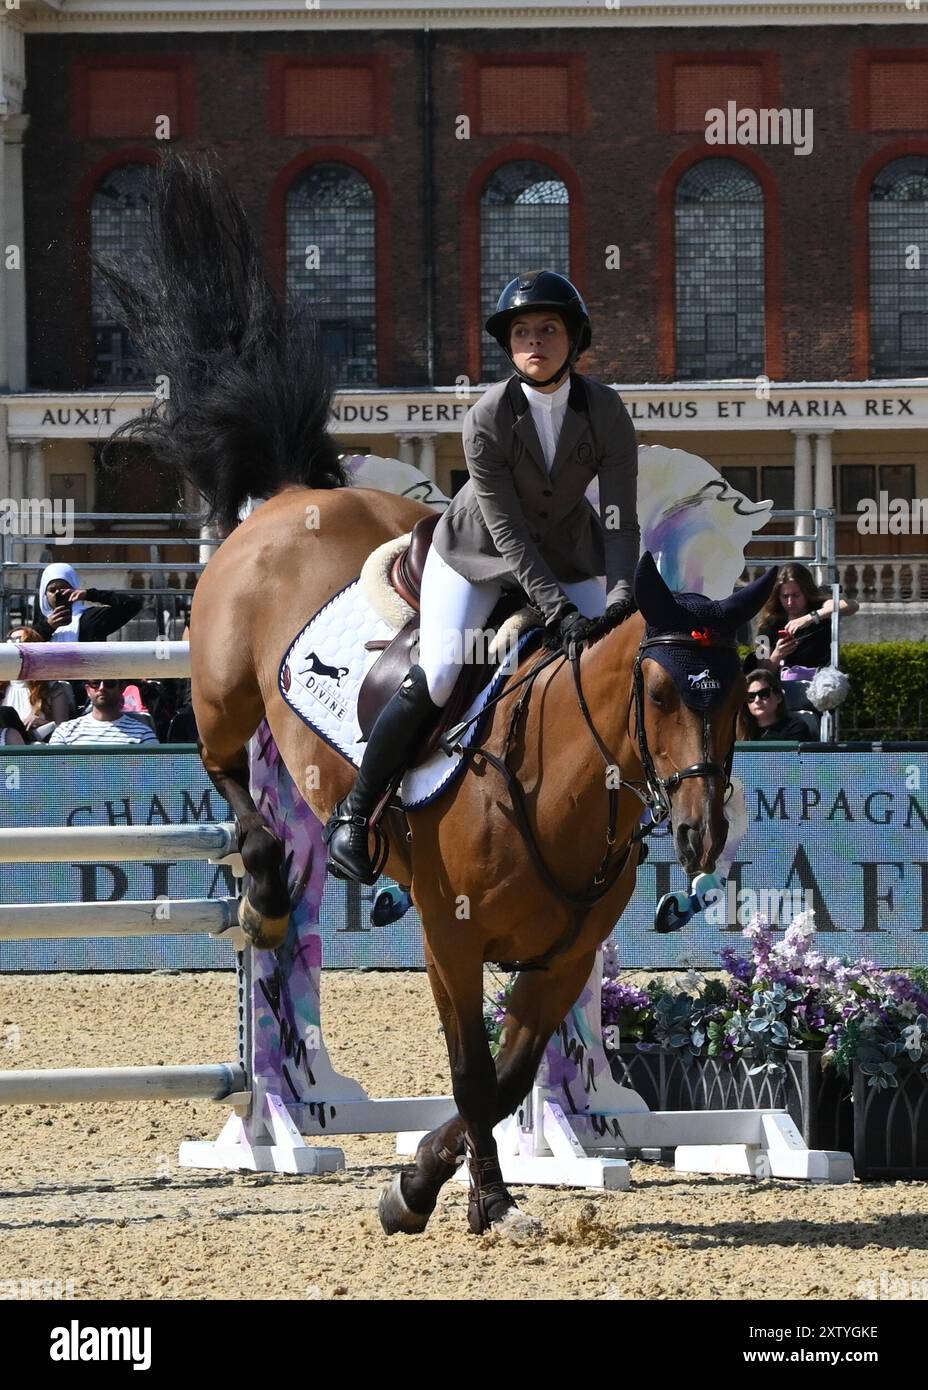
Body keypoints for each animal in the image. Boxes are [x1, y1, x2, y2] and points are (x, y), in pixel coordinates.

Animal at [94, 154, 777, 1239]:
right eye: (662, 690)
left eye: (741, 693)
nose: (704, 833)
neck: (555, 787)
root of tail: (293, 497)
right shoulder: (452, 938)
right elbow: (470, 1075)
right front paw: (431, 1194)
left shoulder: (562, 957)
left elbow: (508, 1082)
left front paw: (457, 1182)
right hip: (221, 690)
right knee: (228, 778)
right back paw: (266, 888)